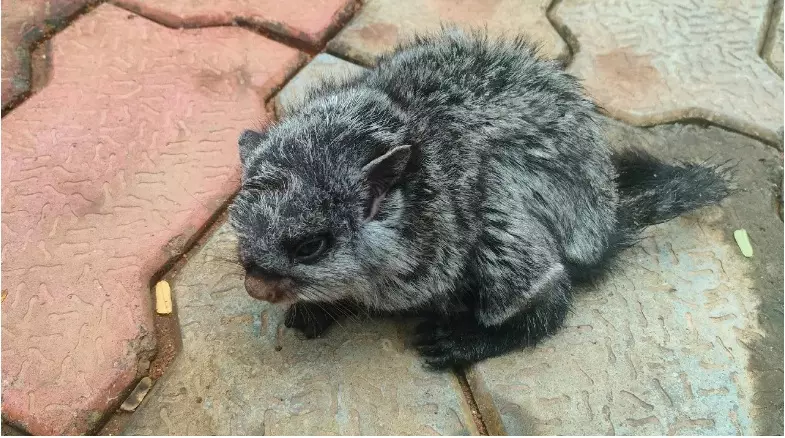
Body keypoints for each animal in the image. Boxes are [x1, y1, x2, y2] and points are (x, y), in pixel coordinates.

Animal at [229, 29, 731, 369]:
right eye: (239, 236)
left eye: (310, 246)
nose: (255, 286)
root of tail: (605, 220)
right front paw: (316, 307)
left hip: (505, 217)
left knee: (549, 295)